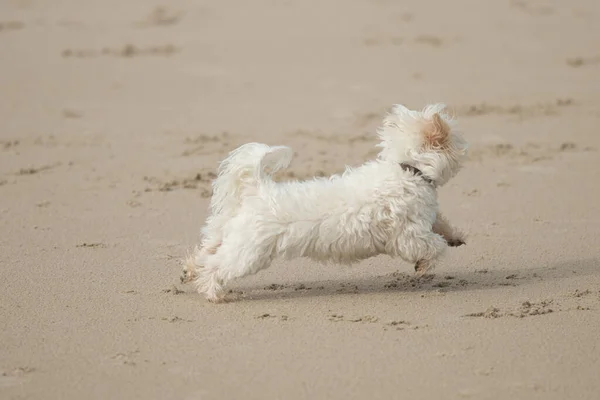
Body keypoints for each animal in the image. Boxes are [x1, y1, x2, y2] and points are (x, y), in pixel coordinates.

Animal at [182, 103, 468, 300]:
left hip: (226, 235)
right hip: (248, 253)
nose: (468, 145)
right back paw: (213, 293)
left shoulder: (424, 220)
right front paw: (425, 263)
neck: (409, 169)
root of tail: (258, 190)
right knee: (216, 267)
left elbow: (441, 225)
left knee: (205, 252)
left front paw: (456, 236)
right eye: (457, 137)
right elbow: (434, 246)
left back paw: (190, 270)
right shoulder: (408, 235)